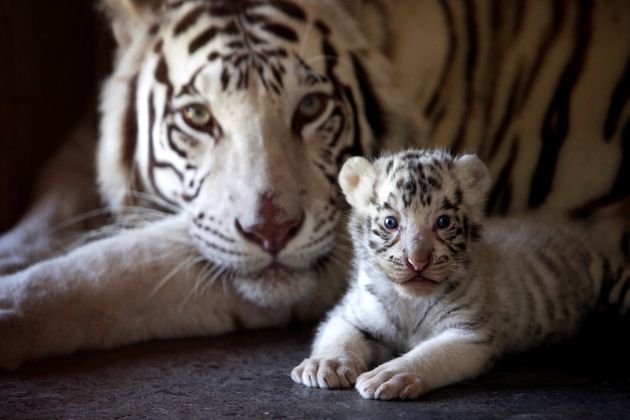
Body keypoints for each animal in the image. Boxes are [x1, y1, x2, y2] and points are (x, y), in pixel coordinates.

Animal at [292, 149, 608, 398]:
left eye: (442, 222)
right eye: (391, 223)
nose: (417, 261)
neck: (410, 302)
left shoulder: (470, 334)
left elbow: (430, 355)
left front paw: (389, 375)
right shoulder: (349, 314)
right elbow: (340, 336)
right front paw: (326, 365)